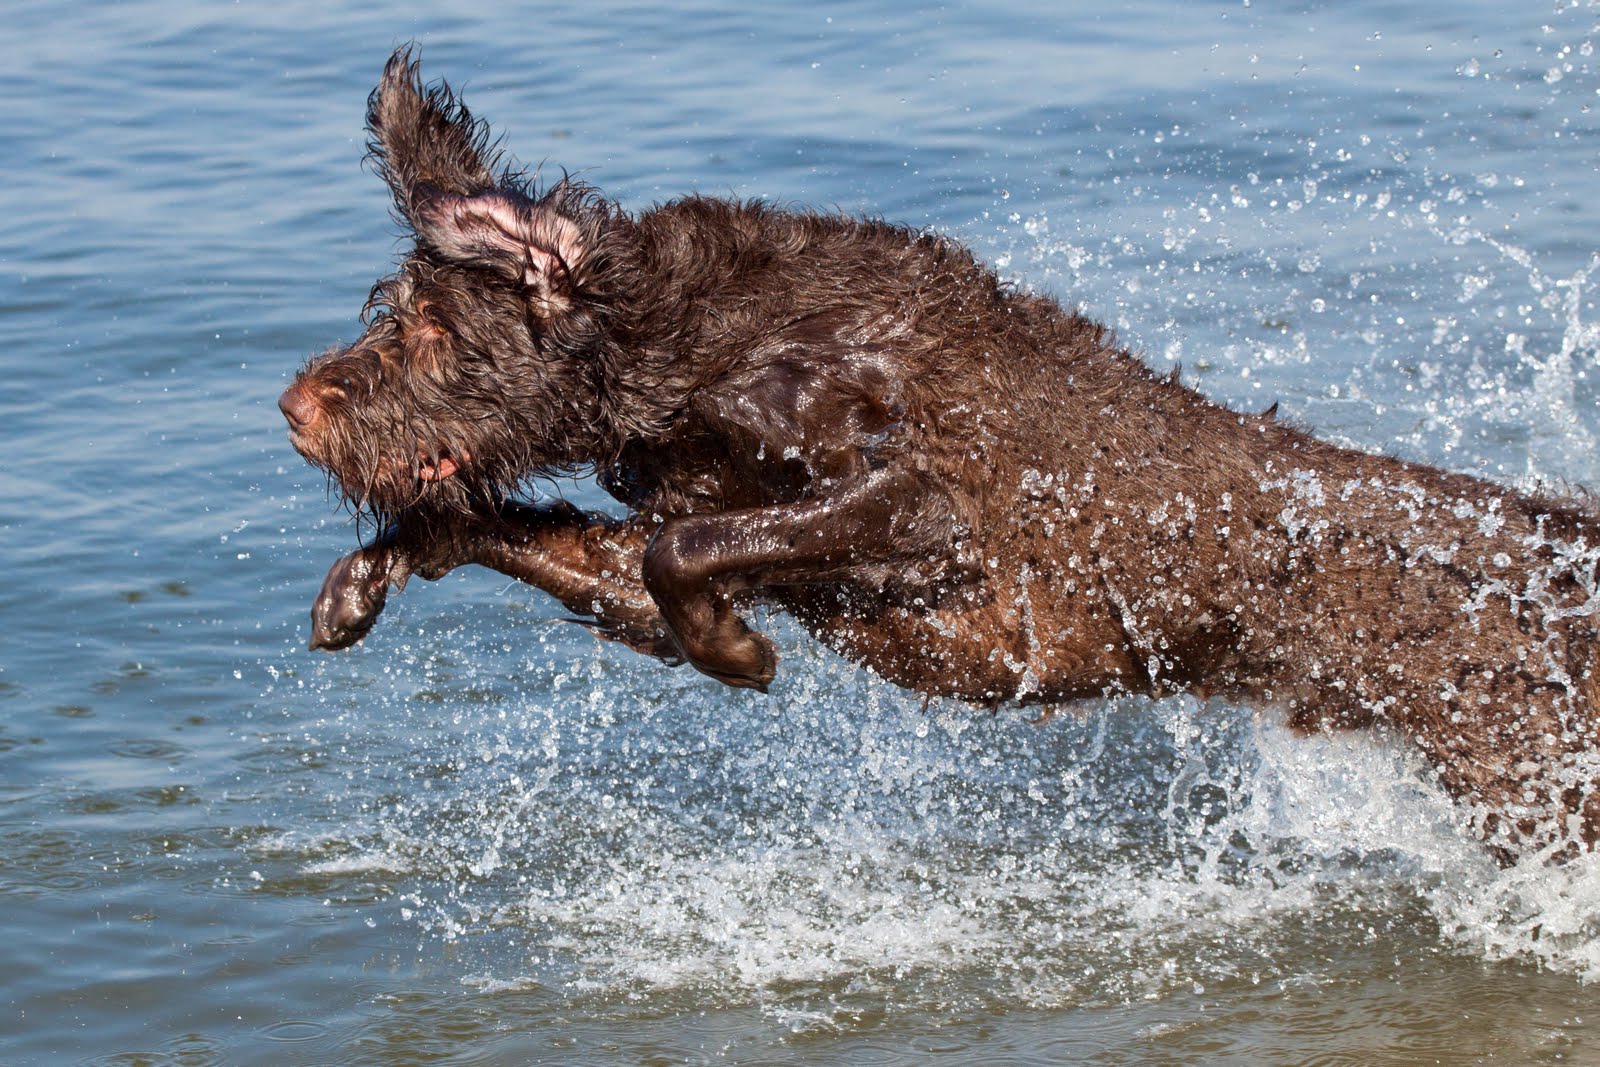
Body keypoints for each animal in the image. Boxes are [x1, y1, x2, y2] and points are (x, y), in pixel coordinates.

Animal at [284, 49, 1600, 863]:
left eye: (422, 330)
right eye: (391, 313)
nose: (293, 406)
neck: (690, 339)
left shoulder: (924, 505)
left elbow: (684, 547)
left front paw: (738, 652)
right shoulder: (663, 543)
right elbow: (556, 540)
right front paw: (366, 576)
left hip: (1538, 781)